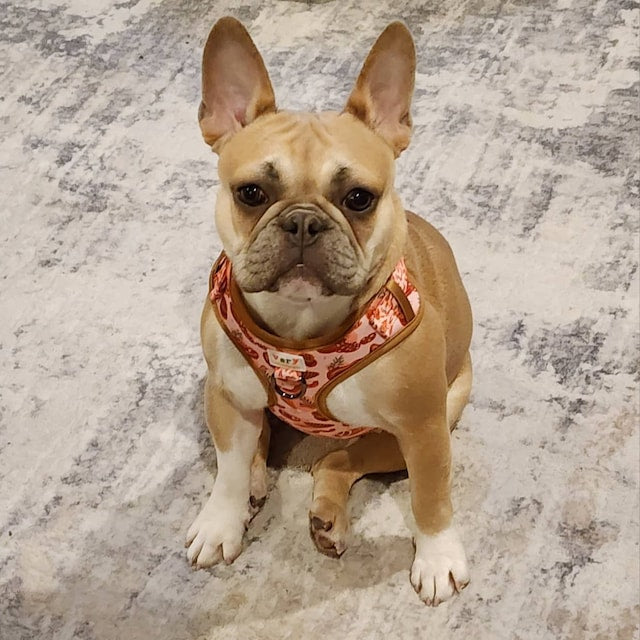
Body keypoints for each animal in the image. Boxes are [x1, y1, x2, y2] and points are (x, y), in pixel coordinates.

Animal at [186, 15, 476, 604]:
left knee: (337, 461)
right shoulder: (227, 396)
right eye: (250, 193)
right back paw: (258, 481)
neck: (300, 333)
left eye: (359, 199)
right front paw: (222, 519)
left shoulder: (424, 427)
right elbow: (226, 470)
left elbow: (431, 496)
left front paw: (437, 557)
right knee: (258, 448)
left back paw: (326, 516)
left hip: (431, 414)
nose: (302, 221)